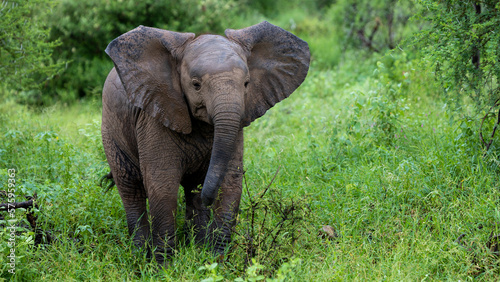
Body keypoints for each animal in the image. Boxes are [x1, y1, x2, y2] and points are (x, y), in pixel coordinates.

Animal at [100, 20, 308, 264]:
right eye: (196, 85)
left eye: (247, 84)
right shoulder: (154, 117)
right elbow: (163, 185)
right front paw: (163, 266)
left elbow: (230, 182)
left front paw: (216, 260)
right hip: (111, 130)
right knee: (130, 188)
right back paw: (139, 254)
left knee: (191, 190)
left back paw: (196, 244)